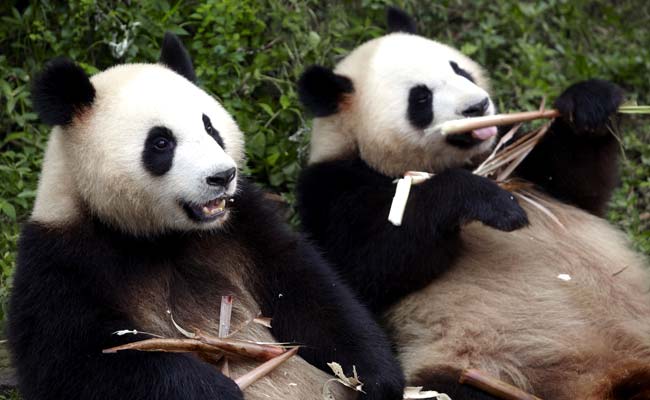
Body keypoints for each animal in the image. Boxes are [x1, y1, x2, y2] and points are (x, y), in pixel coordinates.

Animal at [7, 33, 406, 400]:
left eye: (210, 127)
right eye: (161, 142)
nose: (222, 176)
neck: (158, 236)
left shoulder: (244, 225)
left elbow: (310, 291)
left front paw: (375, 377)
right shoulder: (62, 263)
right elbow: (85, 362)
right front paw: (218, 390)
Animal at [296, 7, 650, 400]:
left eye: (458, 69)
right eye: (421, 98)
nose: (478, 106)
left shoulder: (514, 161)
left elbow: (579, 188)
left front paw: (588, 104)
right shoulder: (331, 190)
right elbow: (369, 266)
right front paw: (490, 202)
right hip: (489, 364)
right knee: (452, 386)